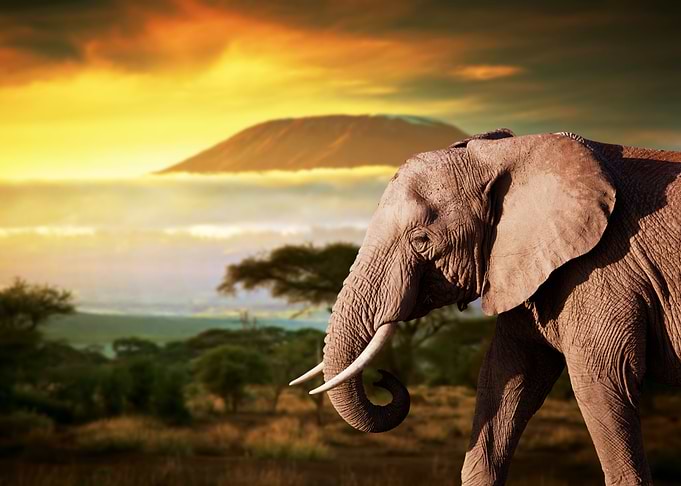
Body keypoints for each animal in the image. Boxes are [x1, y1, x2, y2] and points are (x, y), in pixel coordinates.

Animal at [289, 129, 681, 485]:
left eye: (421, 241)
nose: (382, 379)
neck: (506, 154)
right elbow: (506, 378)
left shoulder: (605, 266)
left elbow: (601, 380)